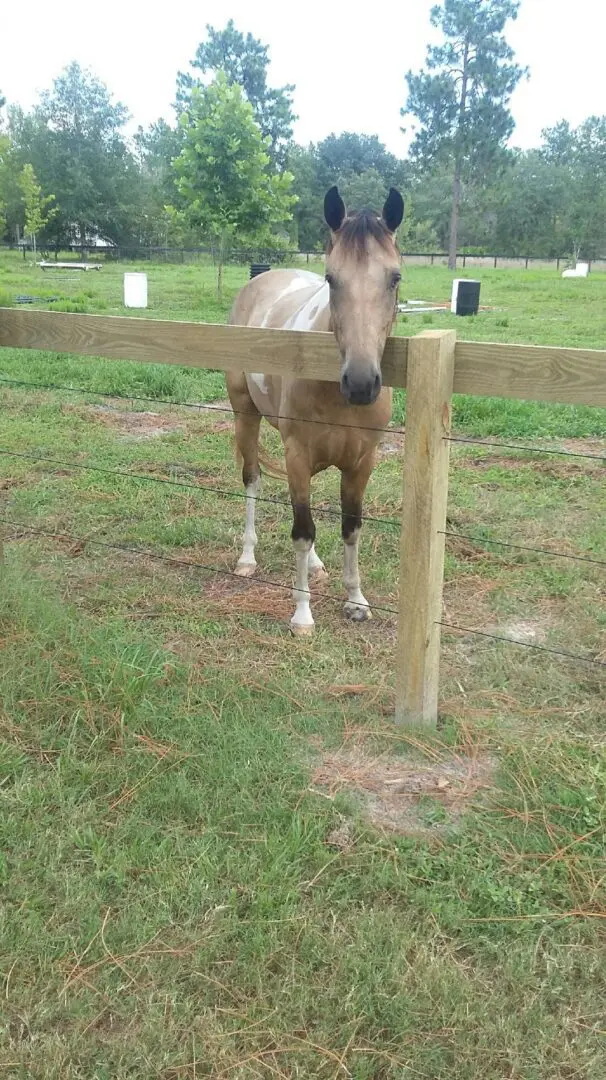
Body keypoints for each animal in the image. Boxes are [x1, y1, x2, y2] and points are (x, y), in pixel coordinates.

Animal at [224, 187, 404, 630]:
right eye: (331, 279)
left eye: (394, 278)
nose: (360, 383)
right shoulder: (297, 454)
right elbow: (303, 530)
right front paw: (302, 614)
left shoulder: (361, 462)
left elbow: (350, 527)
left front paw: (356, 600)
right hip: (245, 415)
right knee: (252, 479)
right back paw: (247, 558)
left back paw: (317, 566)